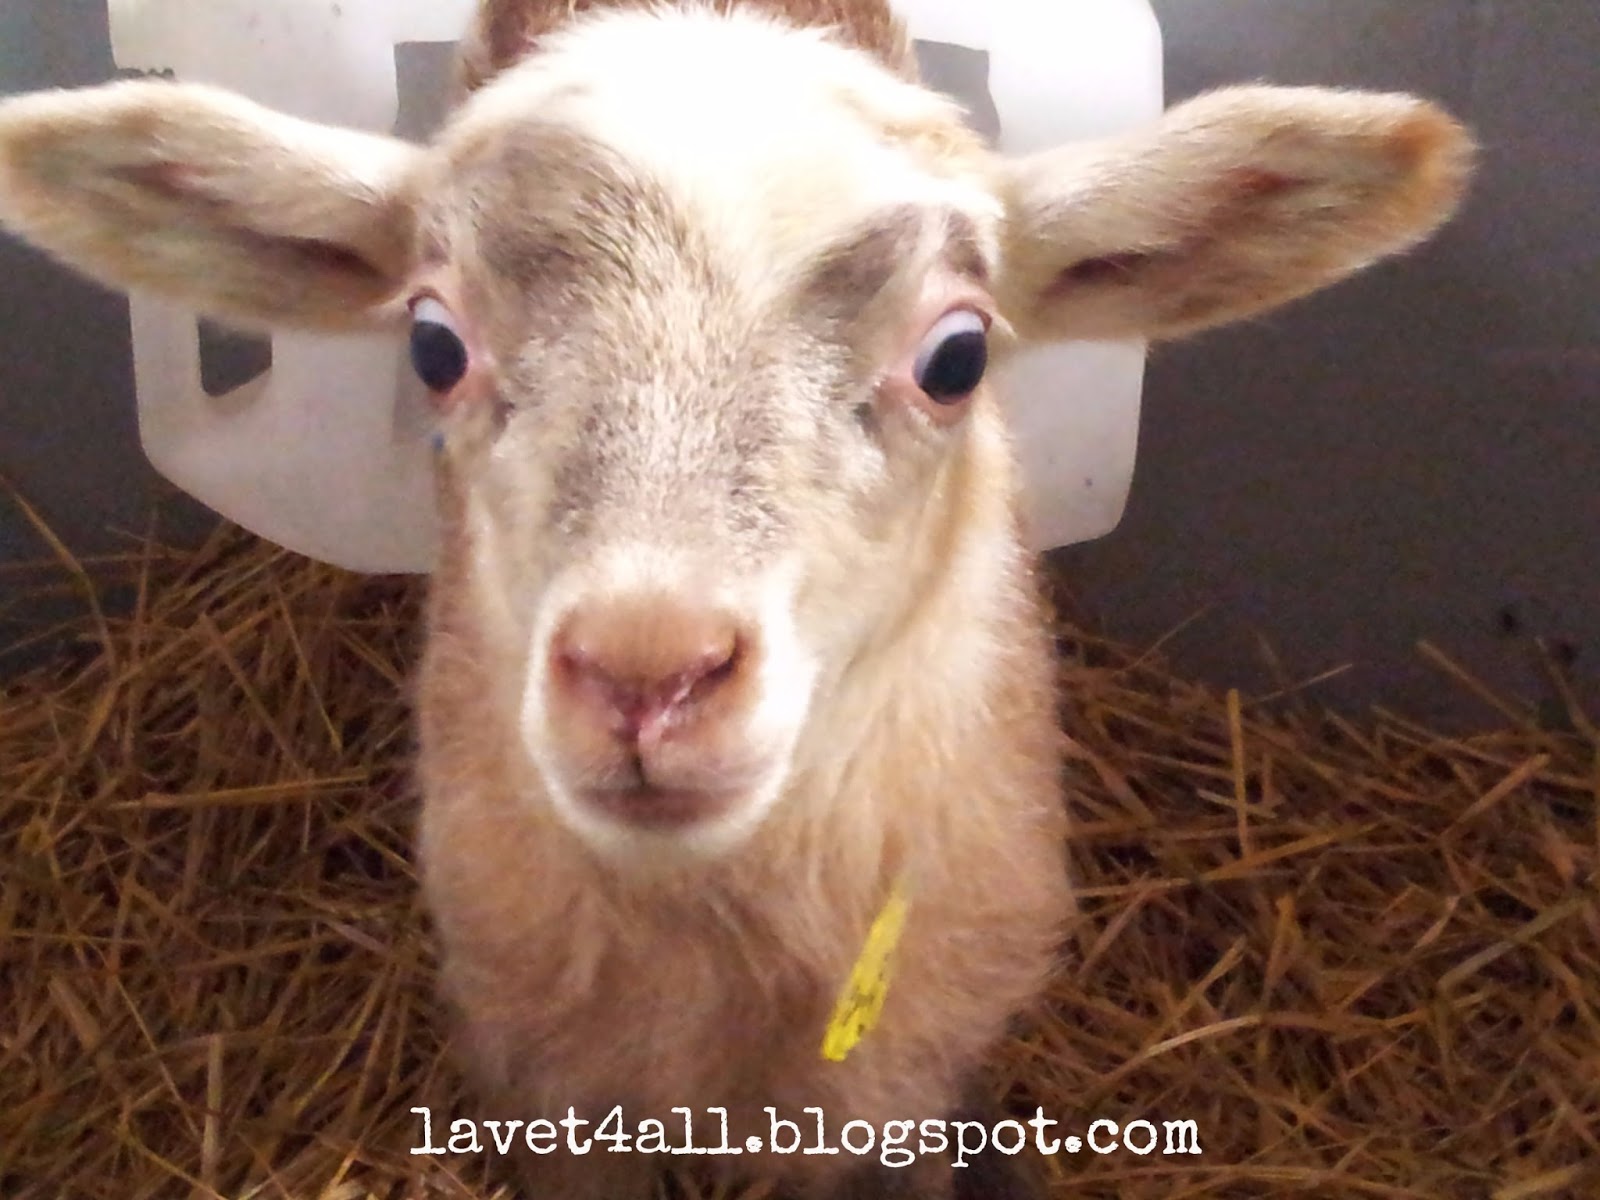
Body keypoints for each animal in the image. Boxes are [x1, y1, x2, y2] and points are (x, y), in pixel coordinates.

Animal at [0, 1, 1473, 1195]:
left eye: (957, 359)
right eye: (431, 344)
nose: (648, 675)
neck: (710, 931)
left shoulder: (894, 1091)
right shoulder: (546, 1083)